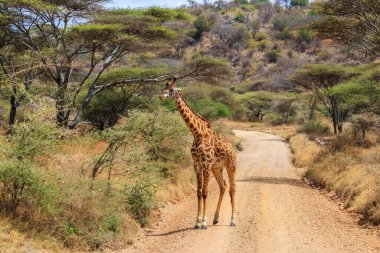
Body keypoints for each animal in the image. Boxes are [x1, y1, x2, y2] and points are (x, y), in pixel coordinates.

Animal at [159, 77, 236, 229]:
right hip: (217, 168)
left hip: (231, 166)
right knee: (223, 186)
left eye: (171, 90)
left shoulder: (205, 163)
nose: (160, 96)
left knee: (232, 189)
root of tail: (233, 148)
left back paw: (232, 220)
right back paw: (215, 218)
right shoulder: (197, 164)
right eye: (164, 88)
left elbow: (205, 192)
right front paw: (197, 222)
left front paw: (204, 222)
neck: (197, 134)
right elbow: (199, 192)